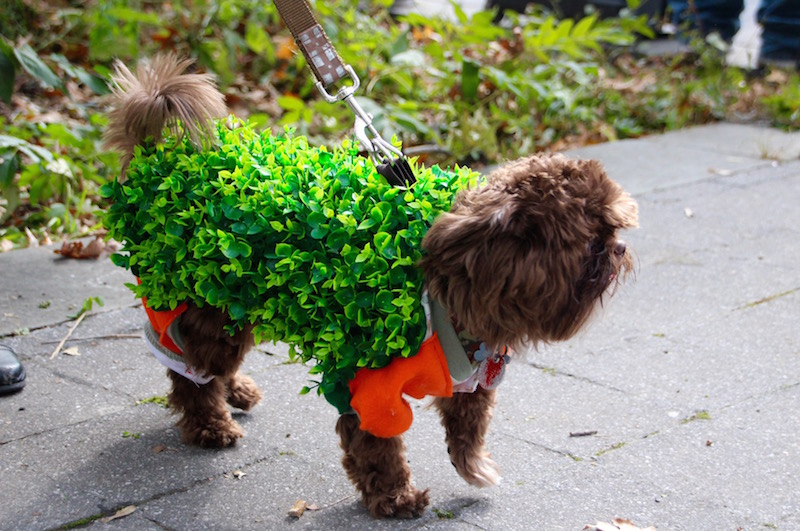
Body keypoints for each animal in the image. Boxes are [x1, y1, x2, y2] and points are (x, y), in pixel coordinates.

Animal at [103, 55, 636, 520]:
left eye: (612, 230)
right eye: (592, 242)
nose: (618, 250)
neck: (454, 282)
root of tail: (162, 161)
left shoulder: (471, 380)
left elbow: (467, 428)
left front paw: (474, 468)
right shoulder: (368, 387)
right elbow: (377, 448)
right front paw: (395, 499)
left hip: (235, 302)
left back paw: (235, 391)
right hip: (204, 309)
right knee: (187, 366)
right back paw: (210, 424)